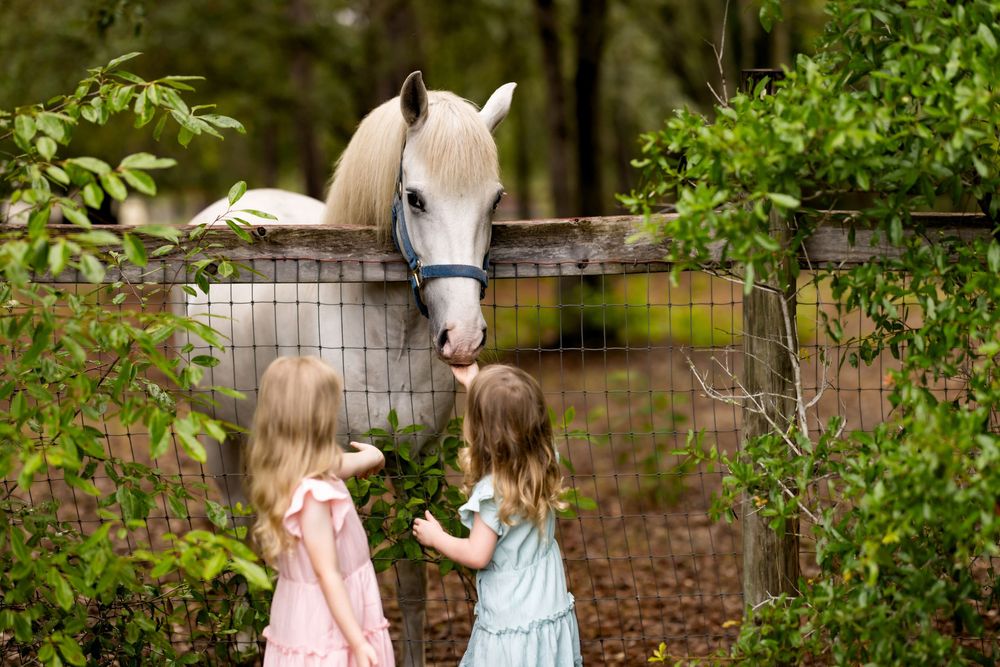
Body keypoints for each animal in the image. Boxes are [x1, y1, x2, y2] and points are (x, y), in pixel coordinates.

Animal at [181, 71, 515, 666]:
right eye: (414, 197)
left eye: (494, 199)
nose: (463, 338)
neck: (384, 337)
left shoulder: (416, 461)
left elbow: (411, 579)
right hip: (218, 437)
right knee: (237, 523)